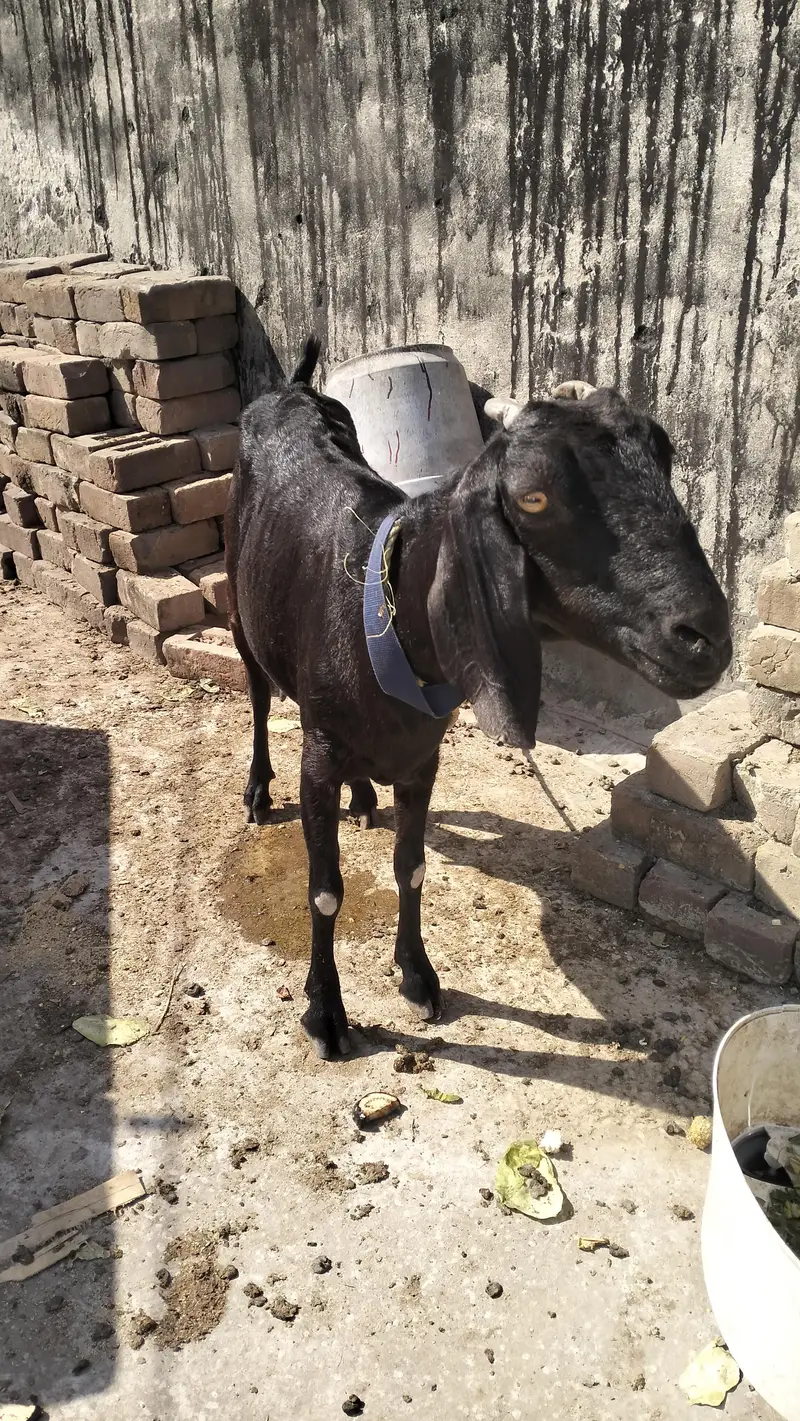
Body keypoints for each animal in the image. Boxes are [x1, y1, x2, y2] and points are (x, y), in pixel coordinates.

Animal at [225, 338, 731, 1059]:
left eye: (664, 456)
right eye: (534, 497)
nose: (705, 637)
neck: (381, 617)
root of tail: (290, 388)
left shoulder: (422, 759)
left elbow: (411, 866)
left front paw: (418, 977)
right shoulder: (318, 756)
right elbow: (324, 891)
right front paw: (326, 1015)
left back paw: (363, 799)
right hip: (241, 604)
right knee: (261, 697)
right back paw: (259, 791)